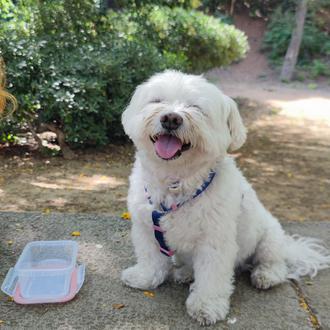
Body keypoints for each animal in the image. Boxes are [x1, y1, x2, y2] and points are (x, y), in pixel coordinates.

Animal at [120, 71, 330, 326]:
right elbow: (151, 258)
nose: (171, 118)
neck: (176, 181)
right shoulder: (147, 228)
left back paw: (266, 275)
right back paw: (185, 272)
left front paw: (206, 306)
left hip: (268, 239)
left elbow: (212, 276)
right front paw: (144, 277)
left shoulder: (215, 241)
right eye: (158, 101)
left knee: (274, 262)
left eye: (196, 107)